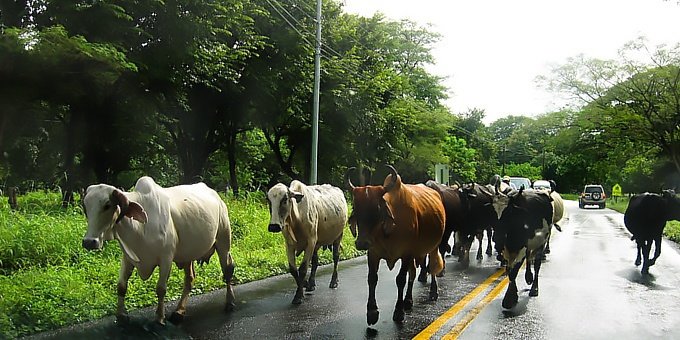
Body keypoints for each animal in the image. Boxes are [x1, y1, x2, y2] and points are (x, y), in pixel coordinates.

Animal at [81, 178, 235, 324]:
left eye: (107, 205)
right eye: (86, 206)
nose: (89, 242)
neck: (139, 228)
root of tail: (216, 195)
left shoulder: (166, 258)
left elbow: (161, 289)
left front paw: (159, 318)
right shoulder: (127, 258)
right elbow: (121, 286)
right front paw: (121, 315)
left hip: (223, 241)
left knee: (227, 270)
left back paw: (229, 302)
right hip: (188, 255)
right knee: (189, 279)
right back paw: (179, 312)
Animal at [346, 166, 446, 326]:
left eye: (377, 209)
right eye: (356, 207)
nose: (362, 243)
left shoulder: (406, 253)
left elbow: (400, 279)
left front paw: (398, 312)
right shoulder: (373, 253)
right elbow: (372, 278)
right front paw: (372, 312)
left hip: (434, 246)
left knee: (433, 266)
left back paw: (433, 292)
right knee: (413, 273)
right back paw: (408, 300)